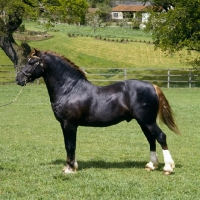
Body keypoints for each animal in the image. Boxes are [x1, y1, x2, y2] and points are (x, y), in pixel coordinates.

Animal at [16, 48, 180, 175]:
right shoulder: (65, 125)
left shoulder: (69, 124)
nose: (18, 79)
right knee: (151, 139)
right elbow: (68, 144)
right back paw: (151, 165)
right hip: (143, 122)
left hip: (147, 121)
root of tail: (152, 86)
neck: (70, 89)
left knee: (161, 137)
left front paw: (70, 169)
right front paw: (71, 166)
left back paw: (168, 168)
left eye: (31, 62)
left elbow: (70, 145)